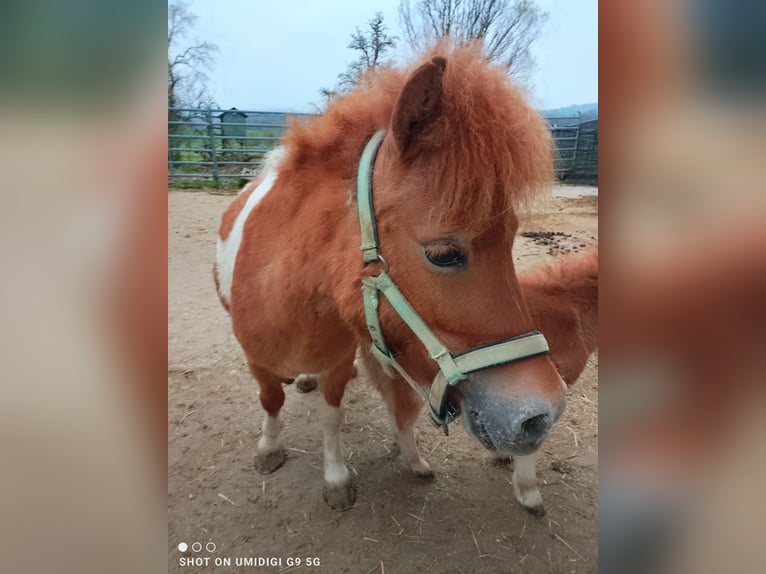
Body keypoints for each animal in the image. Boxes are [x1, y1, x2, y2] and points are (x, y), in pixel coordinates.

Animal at [214, 43, 567, 512]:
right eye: (443, 254)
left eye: (511, 238)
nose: (542, 415)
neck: (291, 300)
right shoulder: (256, 360)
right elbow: (271, 400)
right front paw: (269, 449)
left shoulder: (337, 362)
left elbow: (331, 414)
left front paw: (336, 478)